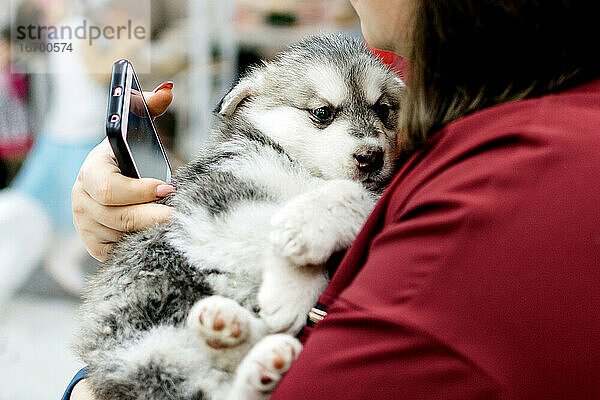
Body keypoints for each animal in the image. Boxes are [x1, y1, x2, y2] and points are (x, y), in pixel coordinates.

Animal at [75, 35, 404, 400]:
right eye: (322, 112)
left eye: (384, 109)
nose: (371, 157)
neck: (304, 169)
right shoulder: (212, 203)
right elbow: (271, 225)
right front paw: (292, 286)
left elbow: (352, 195)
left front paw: (307, 232)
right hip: (146, 329)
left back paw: (248, 346)